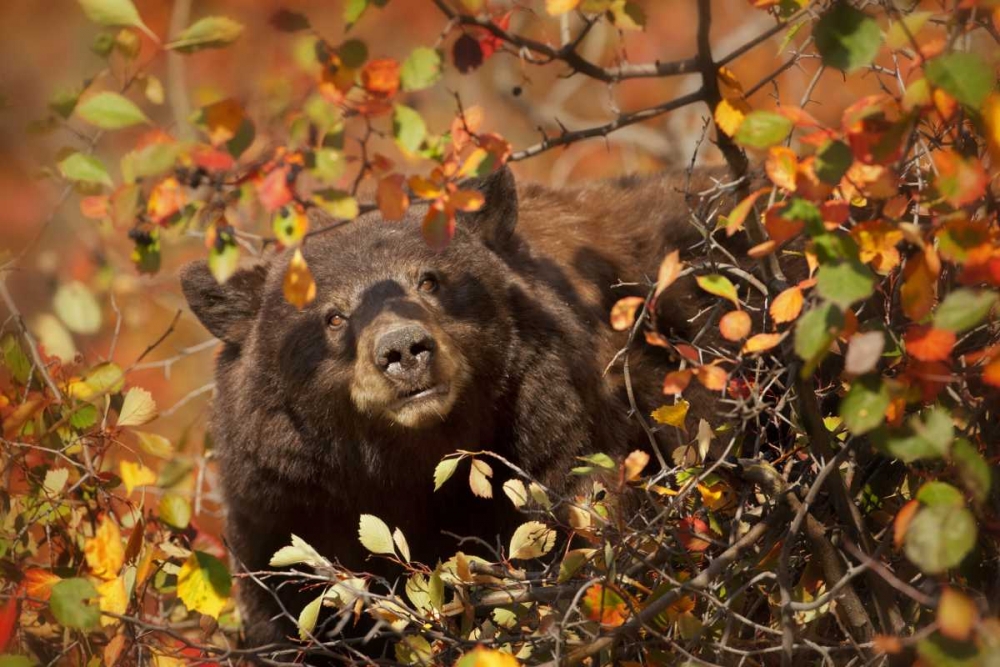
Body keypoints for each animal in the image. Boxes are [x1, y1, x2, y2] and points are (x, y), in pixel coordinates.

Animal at [180, 165, 747, 658]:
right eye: (333, 316)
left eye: (429, 280)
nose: (403, 349)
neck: (409, 467)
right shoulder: (287, 514)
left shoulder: (561, 446)